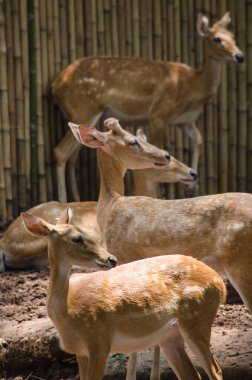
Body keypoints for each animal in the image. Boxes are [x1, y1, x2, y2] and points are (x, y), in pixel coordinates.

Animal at [22, 208, 226, 380]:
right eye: (77, 238)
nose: (111, 259)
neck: (69, 312)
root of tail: (220, 283)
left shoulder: (99, 341)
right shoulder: (80, 351)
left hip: (197, 319)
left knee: (216, 371)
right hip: (170, 336)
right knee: (192, 374)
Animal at [52, 11, 243, 202]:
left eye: (233, 36)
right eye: (217, 39)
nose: (240, 56)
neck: (193, 88)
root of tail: (55, 85)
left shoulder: (185, 121)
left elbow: (199, 140)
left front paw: (191, 186)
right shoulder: (159, 113)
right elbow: (161, 143)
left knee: (73, 156)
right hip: (85, 109)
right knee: (60, 152)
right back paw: (62, 200)